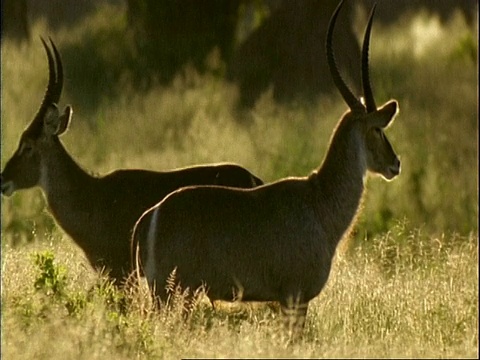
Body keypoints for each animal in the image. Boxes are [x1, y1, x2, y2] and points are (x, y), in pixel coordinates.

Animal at [132, 0, 402, 332]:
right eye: (378, 129)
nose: (395, 163)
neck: (319, 202)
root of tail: (150, 216)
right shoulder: (295, 296)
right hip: (170, 292)